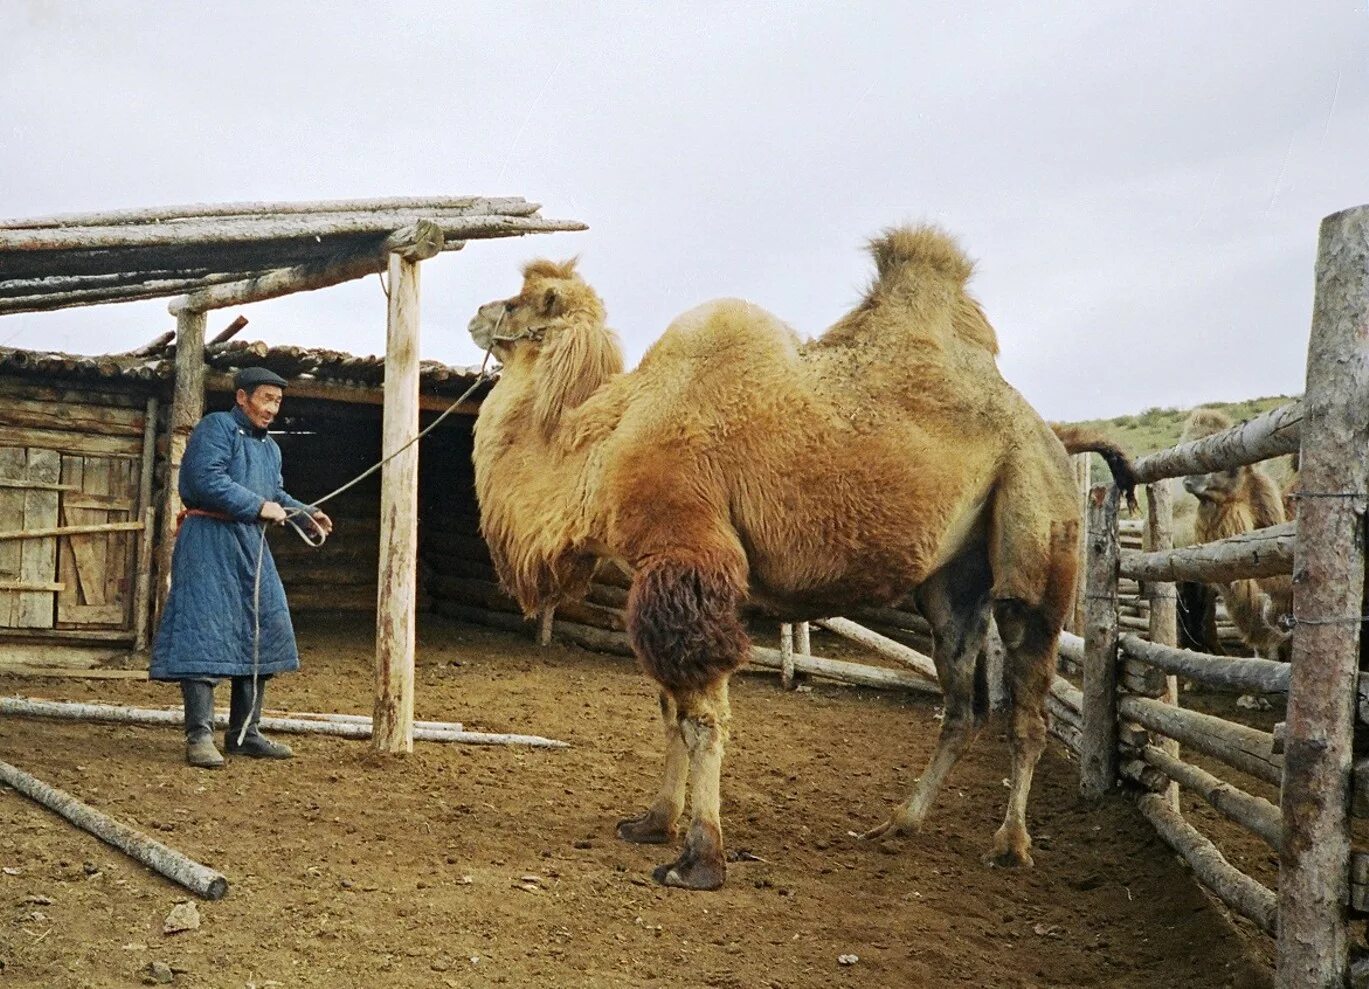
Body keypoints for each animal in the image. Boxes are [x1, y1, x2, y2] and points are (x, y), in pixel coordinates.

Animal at [468, 227, 1133, 887]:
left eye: (517, 302)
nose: (476, 313)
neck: (602, 442)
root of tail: (1054, 433)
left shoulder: (689, 558)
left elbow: (700, 716)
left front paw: (698, 858)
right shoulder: (655, 578)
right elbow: (668, 706)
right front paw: (651, 823)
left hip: (1035, 527)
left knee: (1028, 704)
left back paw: (1010, 844)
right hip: (952, 583)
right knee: (961, 705)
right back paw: (898, 824)